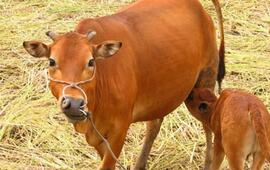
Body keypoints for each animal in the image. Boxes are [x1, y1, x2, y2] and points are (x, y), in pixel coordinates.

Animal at [23, 0, 225, 170]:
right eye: (51, 61)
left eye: (91, 62)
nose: (73, 103)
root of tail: (198, 7)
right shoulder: (98, 136)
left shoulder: (120, 129)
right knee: (154, 124)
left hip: (204, 82)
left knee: (208, 126)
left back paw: (209, 163)